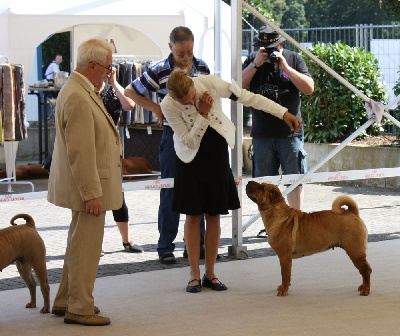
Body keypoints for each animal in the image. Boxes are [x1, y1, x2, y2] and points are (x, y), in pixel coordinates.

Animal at [245, 181, 374, 296]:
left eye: (262, 187)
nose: (248, 181)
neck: (275, 213)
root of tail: (352, 213)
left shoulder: (284, 257)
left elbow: (285, 275)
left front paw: (284, 291)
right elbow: (286, 275)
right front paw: (282, 287)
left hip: (355, 251)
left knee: (366, 270)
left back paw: (365, 290)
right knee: (363, 270)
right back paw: (362, 286)